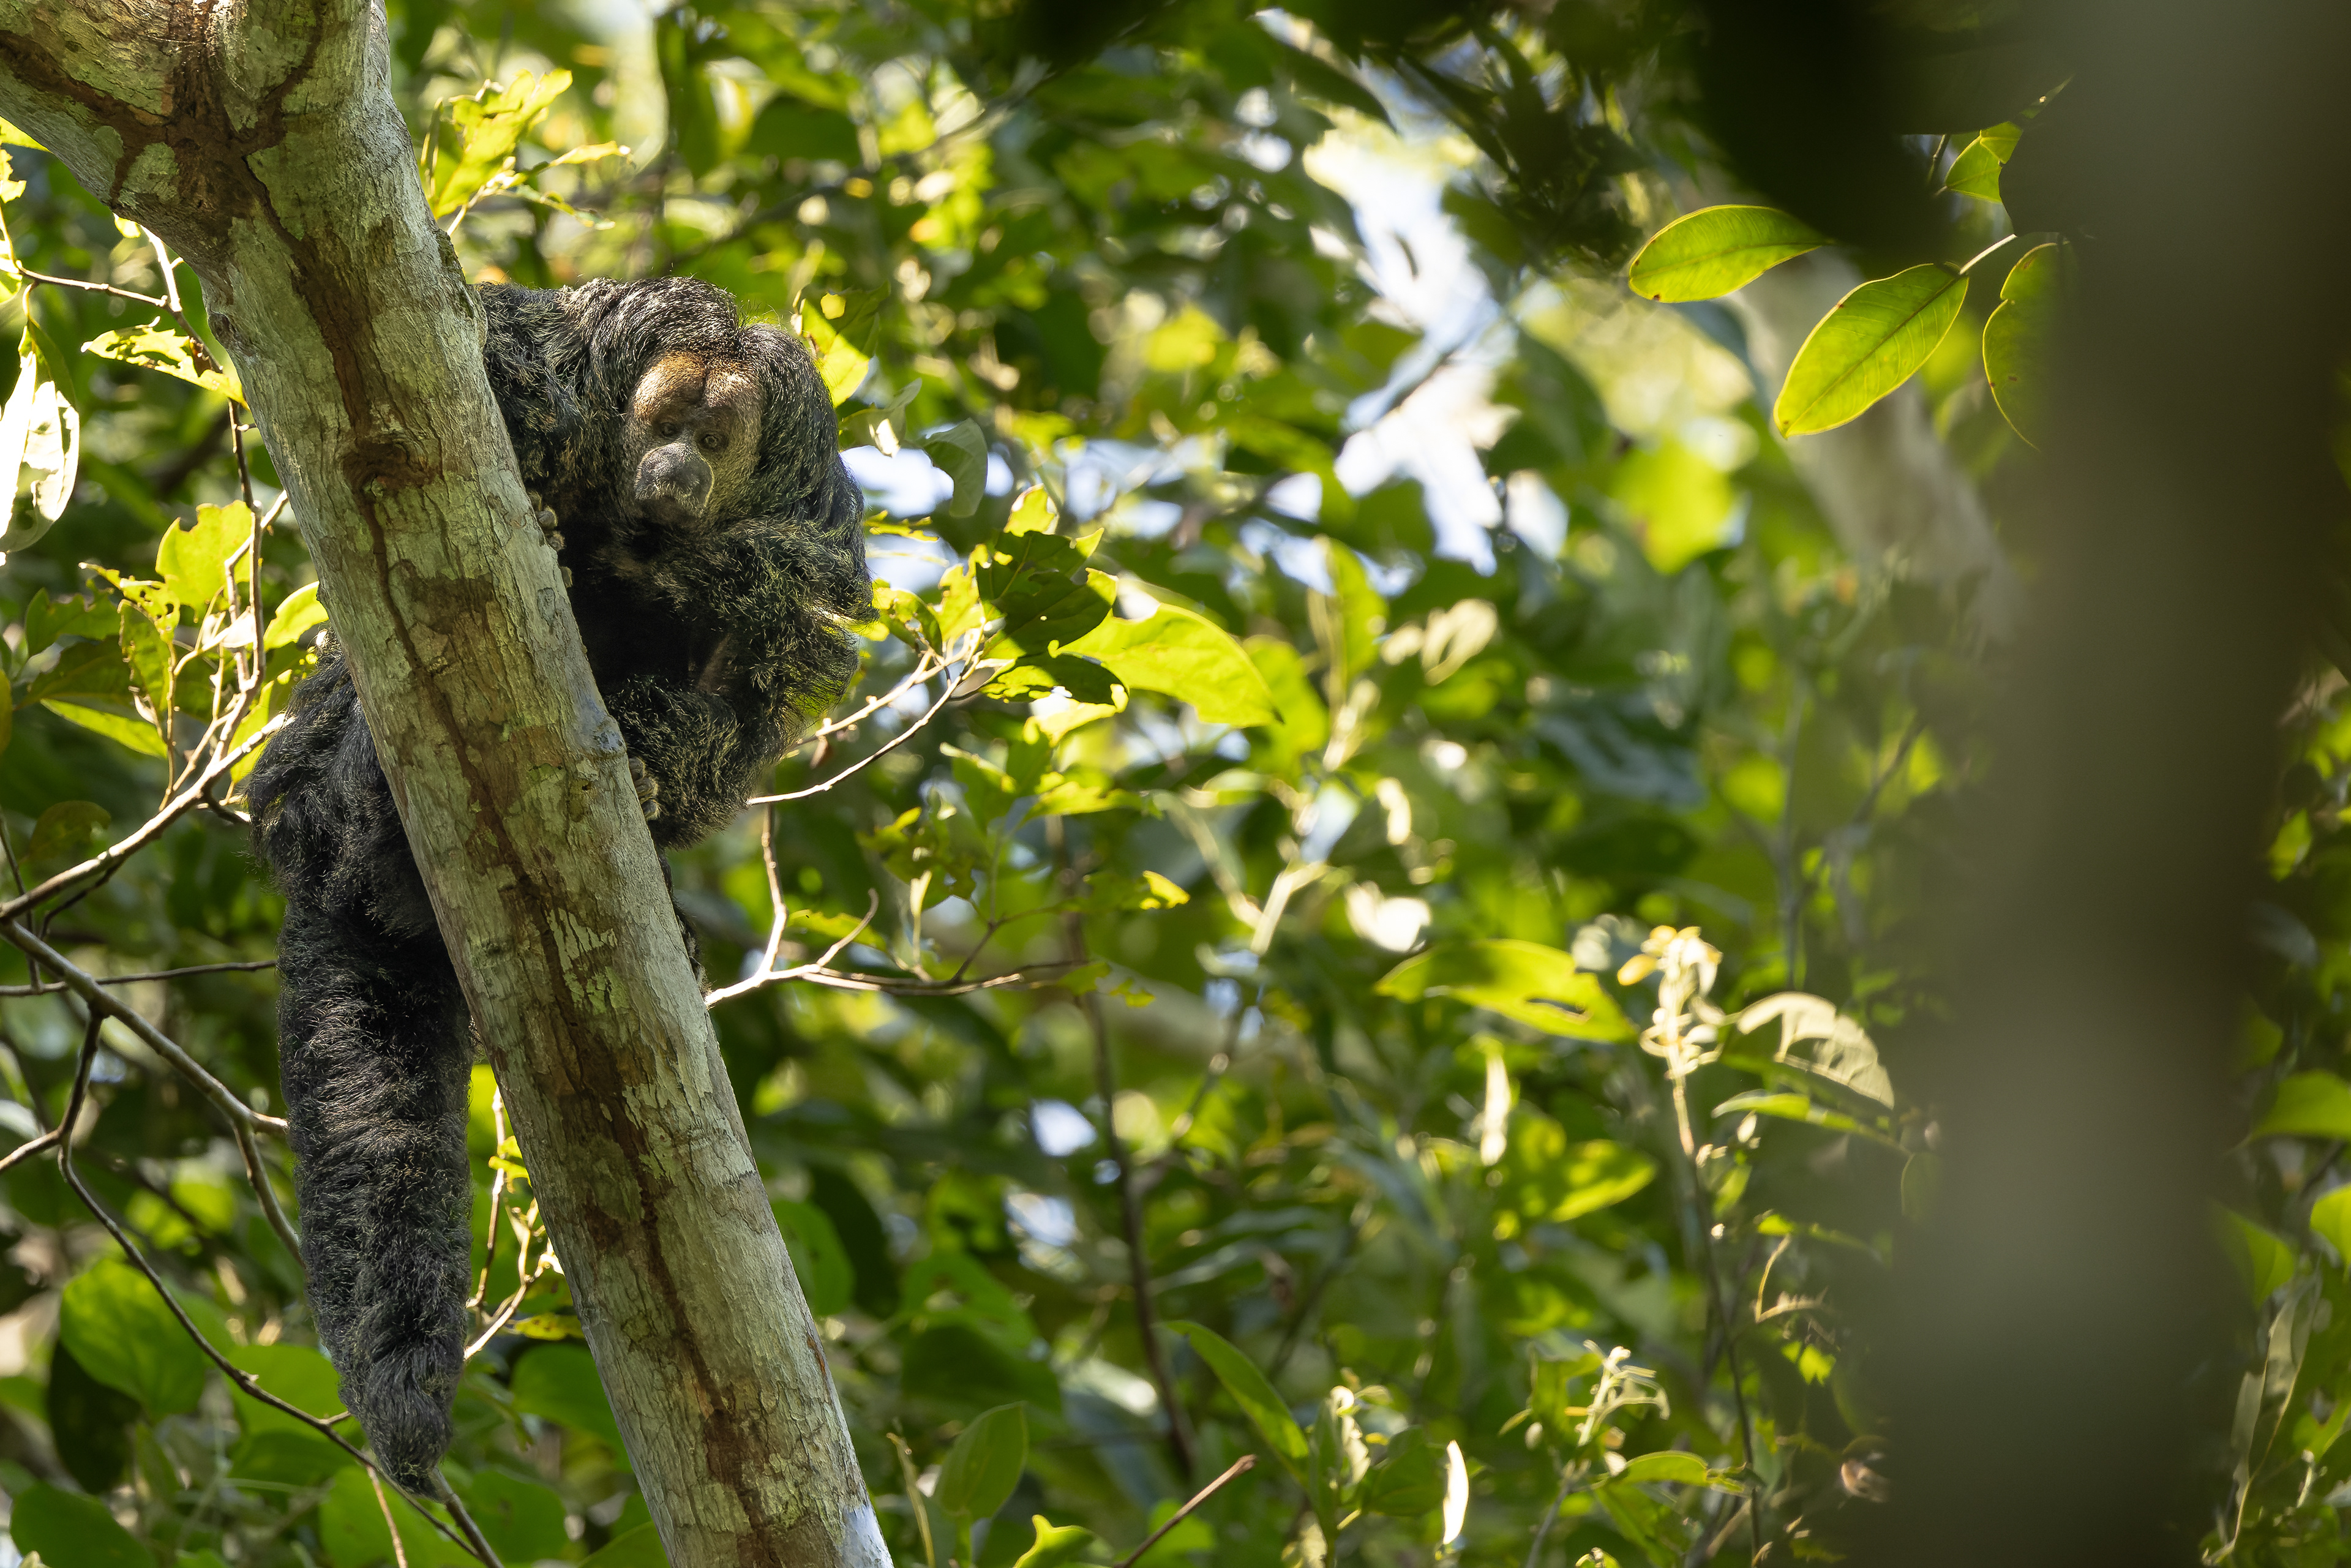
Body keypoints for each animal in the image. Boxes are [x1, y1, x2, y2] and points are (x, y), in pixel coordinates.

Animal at [245, 276, 870, 1492]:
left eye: (715, 439)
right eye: (664, 419)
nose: (674, 465)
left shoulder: (806, 532)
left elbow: (749, 665)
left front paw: (665, 720)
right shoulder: (568, 358)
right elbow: (489, 370)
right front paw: (549, 510)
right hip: (334, 801)